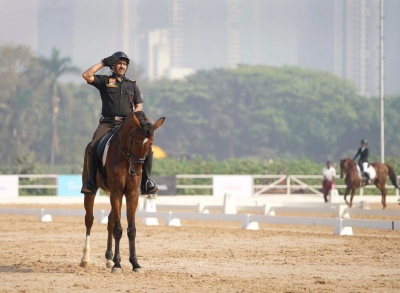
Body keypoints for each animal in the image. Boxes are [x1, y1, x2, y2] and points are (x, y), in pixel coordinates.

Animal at [79, 112, 164, 272]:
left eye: (150, 144)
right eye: (135, 141)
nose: (135, 172)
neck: (125, 158)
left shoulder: (132, 194)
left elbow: (131, 229)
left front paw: (135, 263)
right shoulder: (117, 192)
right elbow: (118, 229)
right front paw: (118, 264)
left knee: (110, 221)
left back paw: (109, 258)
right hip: (91, 191)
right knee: (89, 220)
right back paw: (85, 259)